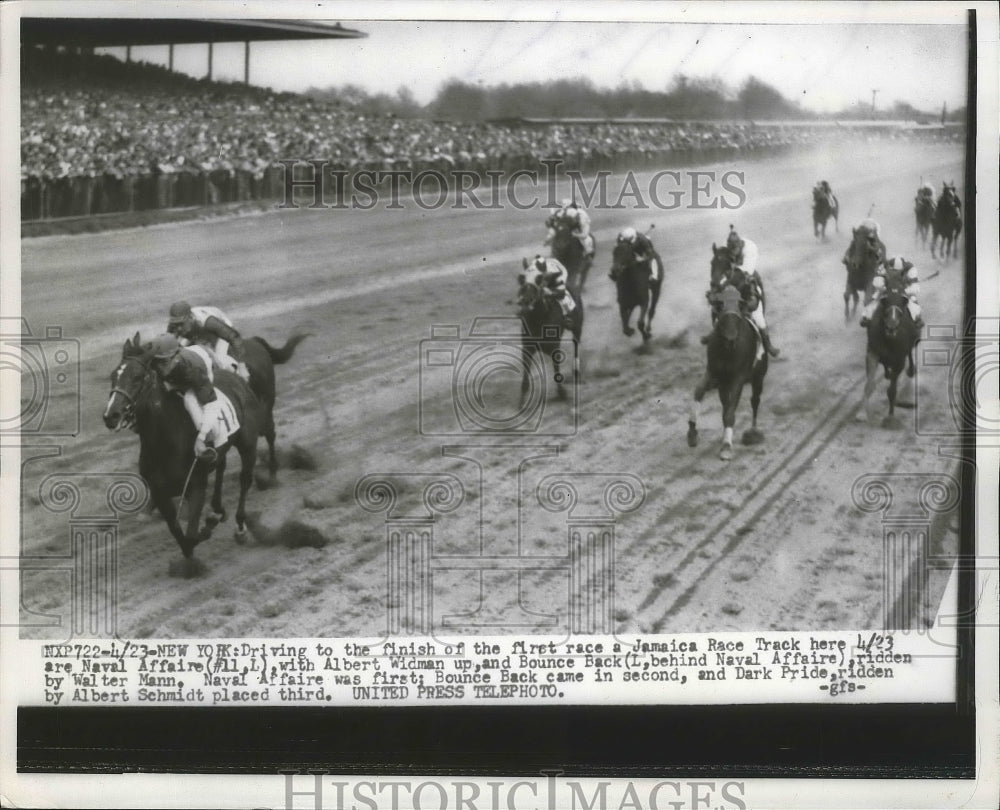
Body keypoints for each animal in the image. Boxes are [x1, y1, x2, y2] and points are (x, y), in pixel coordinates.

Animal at [103, 332, 264, 572]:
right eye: (114, 375)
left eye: (138, 377)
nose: (111, 416)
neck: (163, 443)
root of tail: (235, 378)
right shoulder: (160, 494)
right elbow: (180, 535)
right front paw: (191, 558)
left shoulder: (195, 486)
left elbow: (191, 534)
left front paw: (208, 527)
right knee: (221, 466)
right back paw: (218, 508)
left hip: (247, 443)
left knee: (245, 479)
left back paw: (240, 526)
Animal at [520, 258, 584, 408]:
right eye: (523, 279)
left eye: (539, 279)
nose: (526, 299)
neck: (539, 317)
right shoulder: (527, 347)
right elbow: (525, 377)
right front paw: (521, 403)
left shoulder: (554, 346)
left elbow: (556, 370)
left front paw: (562, 393)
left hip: (577, 327)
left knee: (576, 345)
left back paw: (576, 371)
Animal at [684, 284, 768, 460]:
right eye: (720, 306)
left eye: (739, 306)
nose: (730, 337)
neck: (727, 351)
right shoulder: (714, 375)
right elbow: (698, 392)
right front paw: (692, 433)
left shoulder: (737, 379)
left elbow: (730, 413)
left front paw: (726, 447)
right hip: (724, 386)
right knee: (725, 404)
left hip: (758, 378)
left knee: (754, 402)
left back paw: (753, 433)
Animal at [856, 288, 916, 426]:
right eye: (886, 310)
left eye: (900, 312)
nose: (891, 328)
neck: (889, 340)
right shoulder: (872, 353)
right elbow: (869, 385)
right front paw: (862, 414)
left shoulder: (899, 360)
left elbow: (892, 391)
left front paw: (890, 418)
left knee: (910, 362)